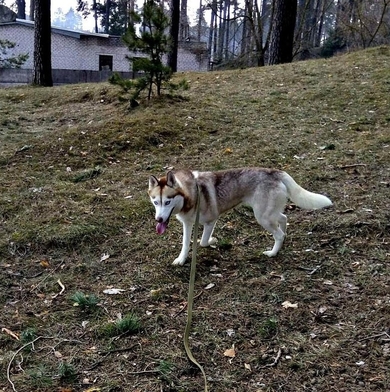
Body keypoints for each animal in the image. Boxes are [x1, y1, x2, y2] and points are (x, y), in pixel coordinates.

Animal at [148, 168, 330, 266]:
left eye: (168, 202)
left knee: (278, 234)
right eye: (156, 202)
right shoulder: (187, 223)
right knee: (284, 218)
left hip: (262, 217)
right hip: (268, 213)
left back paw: (272, 253)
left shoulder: (211, 220)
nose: (159, 220)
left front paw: (212, 240)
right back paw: (283, 239)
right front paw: (181, 259)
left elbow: (203, 241)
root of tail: (275, 172)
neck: (192, 194)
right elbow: (186, 244)